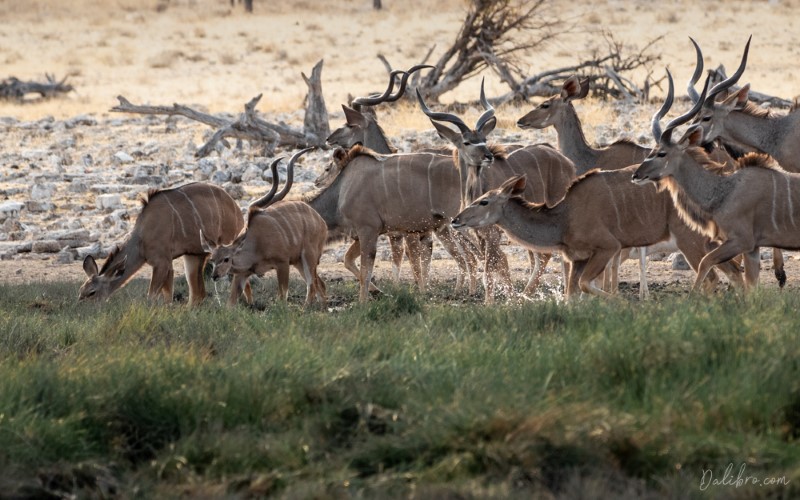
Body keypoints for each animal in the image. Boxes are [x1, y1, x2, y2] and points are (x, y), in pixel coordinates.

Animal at [81, 181, 245, 304]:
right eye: (81, 291)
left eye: (92, 292)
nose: (81, 308)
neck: (141, 239)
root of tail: (237, 210)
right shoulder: (168, 265)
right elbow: (168, 296)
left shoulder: (162, 263)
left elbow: (152, 296)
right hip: (193, 255)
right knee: (197, 294)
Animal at [203, 146, 328, 306]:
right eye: (212, 260)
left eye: (226, 259)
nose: (215, 276)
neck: (255, 242)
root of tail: (321, 221)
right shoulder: (242, 274)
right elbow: (231, 302)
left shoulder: (282, 263)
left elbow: (282, 297)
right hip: (299, 262)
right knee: (320, 285)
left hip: (308, 257)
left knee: (312, 286)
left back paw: (306, 308)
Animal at [304, 145, 478, 300]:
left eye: (327, 168)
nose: (316, 181)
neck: (342, 190)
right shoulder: (369, 234)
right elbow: (349, 260)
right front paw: (383, 292)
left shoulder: (370, 230)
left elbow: (369, 271)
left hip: (460, 227)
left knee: (473, 257)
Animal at [636, 68, 796, 292]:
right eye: (651, 150)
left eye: (661, 153)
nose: (636, 175)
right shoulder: (749, 246)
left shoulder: (741, 241)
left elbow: (707, 263)